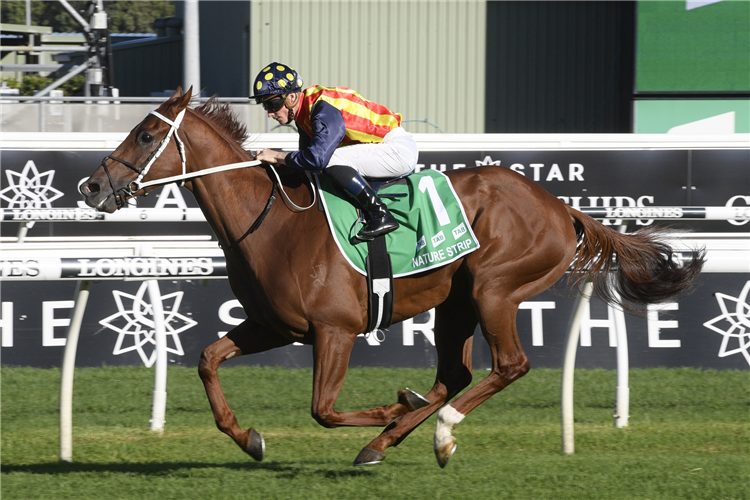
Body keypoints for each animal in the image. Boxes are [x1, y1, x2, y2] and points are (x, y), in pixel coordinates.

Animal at [81, 88, 704, 466]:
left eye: (144, 135)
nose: (91, 187)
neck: (271, 220)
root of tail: (559, 207)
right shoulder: (273, 325)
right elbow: (208, 359)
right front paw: (250, 439)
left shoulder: (334, 329)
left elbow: (323, 409)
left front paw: (391, 407)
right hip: (456, 303)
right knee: (454, 374)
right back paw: (385, 442)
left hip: (494, 288)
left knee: (507, 366)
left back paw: (438, 430)